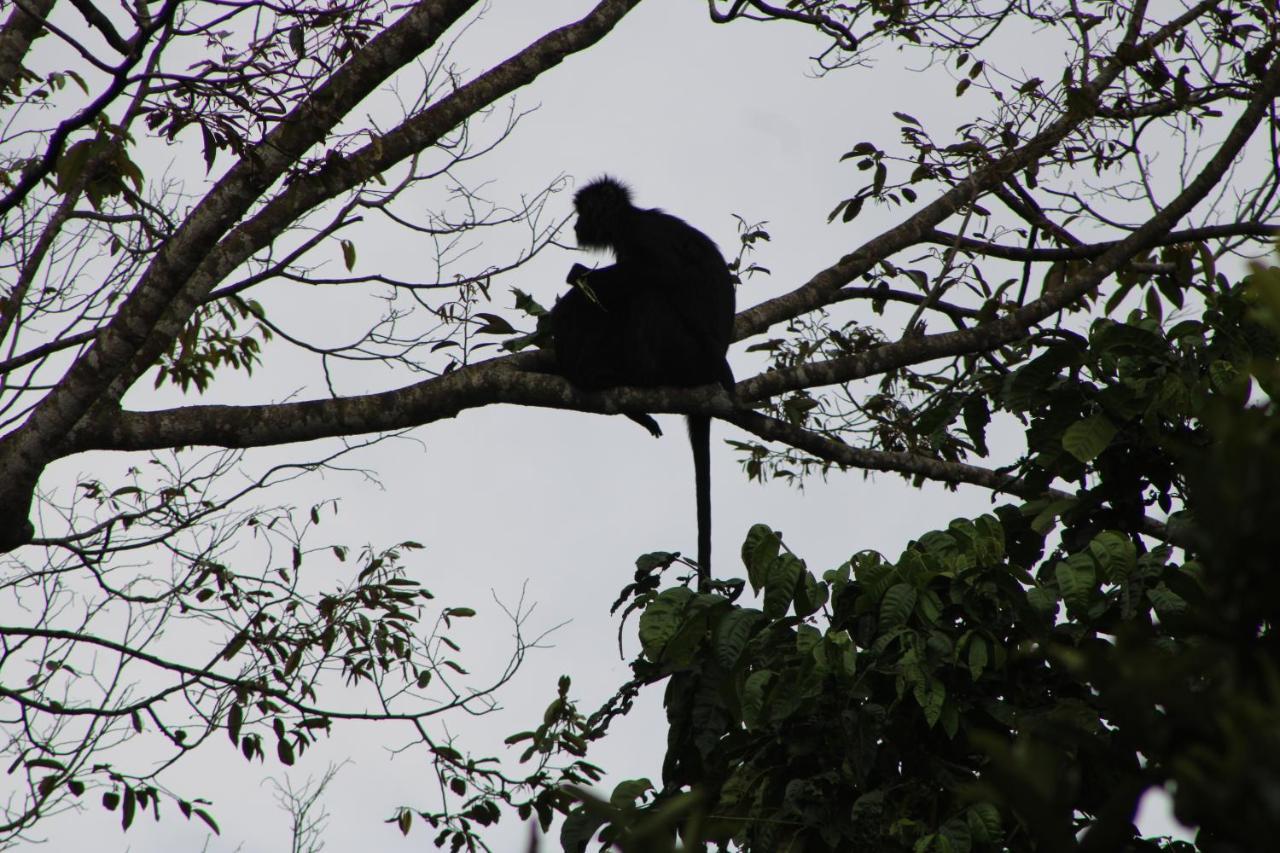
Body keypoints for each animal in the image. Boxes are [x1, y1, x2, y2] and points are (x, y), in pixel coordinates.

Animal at [547, 174, 737, 584]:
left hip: (688, 357)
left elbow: (663, 275)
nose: (576, 225)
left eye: (583, 211)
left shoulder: (641, 234)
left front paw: (578, 283)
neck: (628, 220)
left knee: (650, 296)